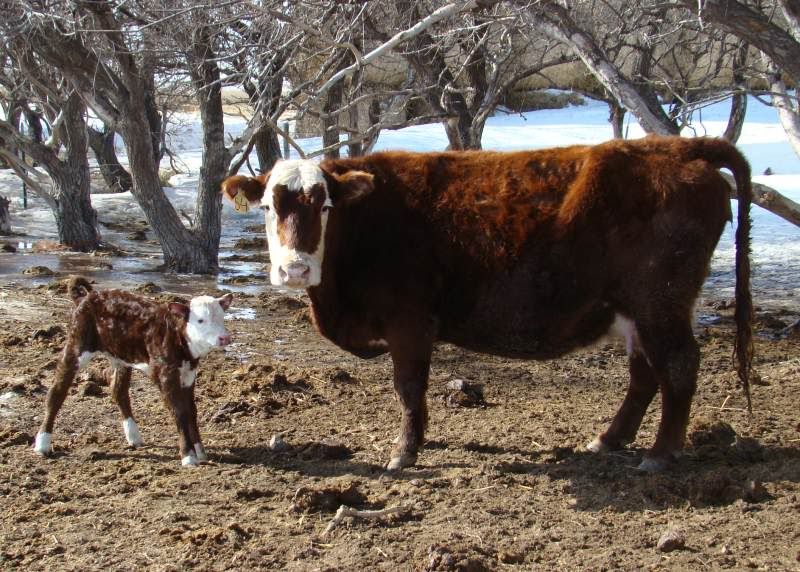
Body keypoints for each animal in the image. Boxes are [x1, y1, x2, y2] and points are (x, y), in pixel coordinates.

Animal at [33, 277, 234, 466]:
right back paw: (42, 443)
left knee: (118, 391)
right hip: (77, 345)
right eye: (200, 320)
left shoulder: (189, 374)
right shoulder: (164, 373)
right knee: (56, 392)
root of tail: (88, 296)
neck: (178, 336)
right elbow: (179, 411)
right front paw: (188, 456)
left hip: (121, 357)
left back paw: (134, 437)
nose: (224, 338)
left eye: (221, 317)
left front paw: (200, 451)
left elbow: (191, 411)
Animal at [221, 136, 753, 472]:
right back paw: (608, 440)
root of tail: (671, 145)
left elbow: (409, 388)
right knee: (644, 374)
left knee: (678, 366)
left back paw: (660, 454)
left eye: (326, 205)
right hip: (634, 313)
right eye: (268, 206)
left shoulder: (410, 322)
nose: (295, 269)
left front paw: (404, 453)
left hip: (659, 304)